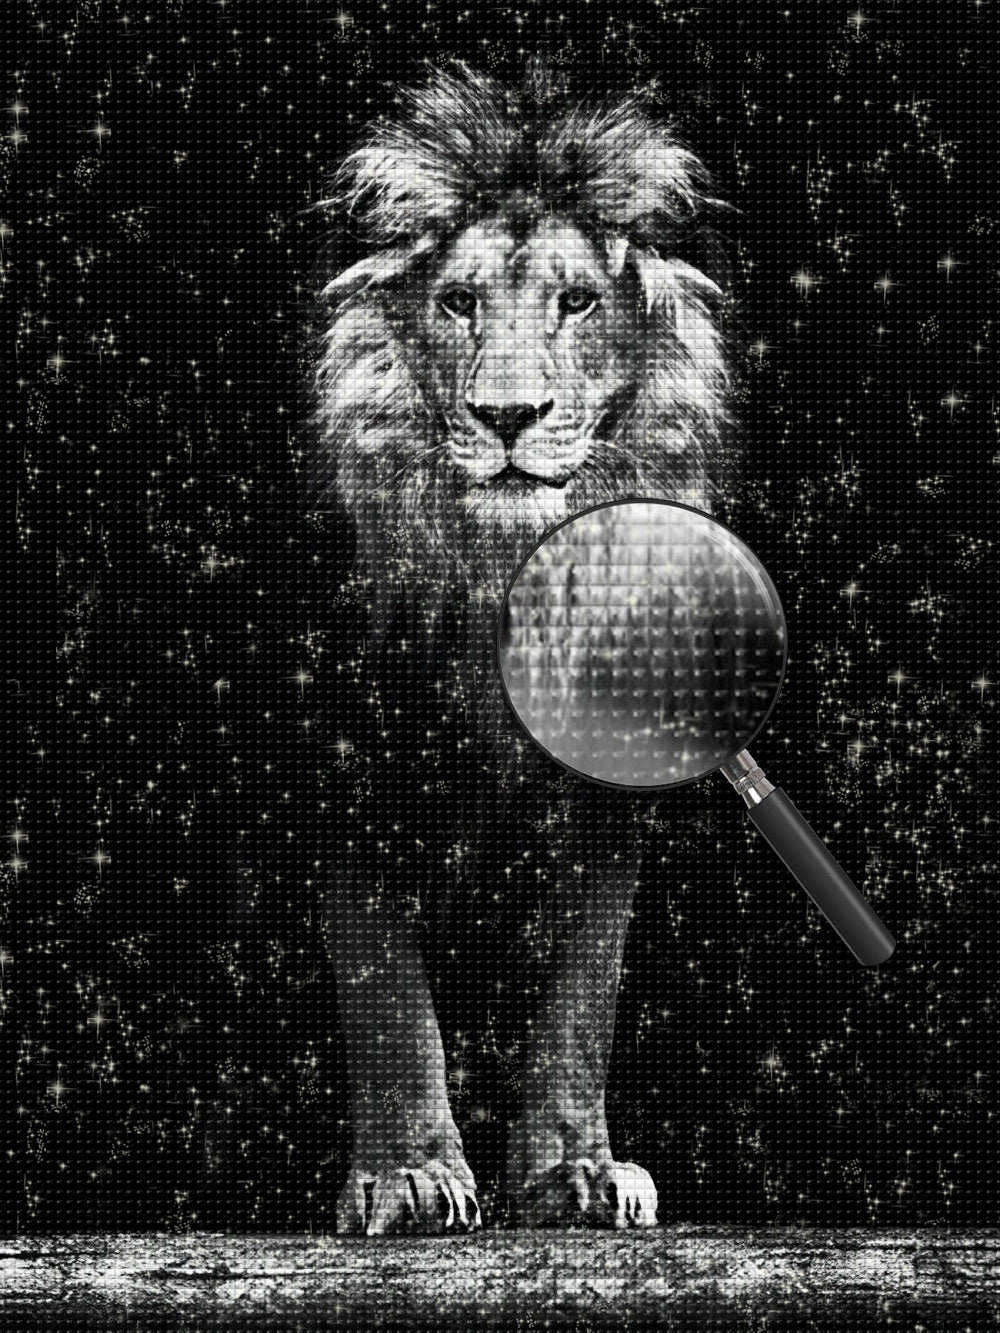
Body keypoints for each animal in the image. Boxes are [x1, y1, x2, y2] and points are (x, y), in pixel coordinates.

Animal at [304, 58, 736, 1234]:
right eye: (457, 303)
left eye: (576, 301)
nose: (508, 415)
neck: (506, 574)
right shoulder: (350, 753)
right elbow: (384, 978)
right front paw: (410, 1177)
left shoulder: (609, 788)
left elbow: (583, 986)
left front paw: (572, 1173)